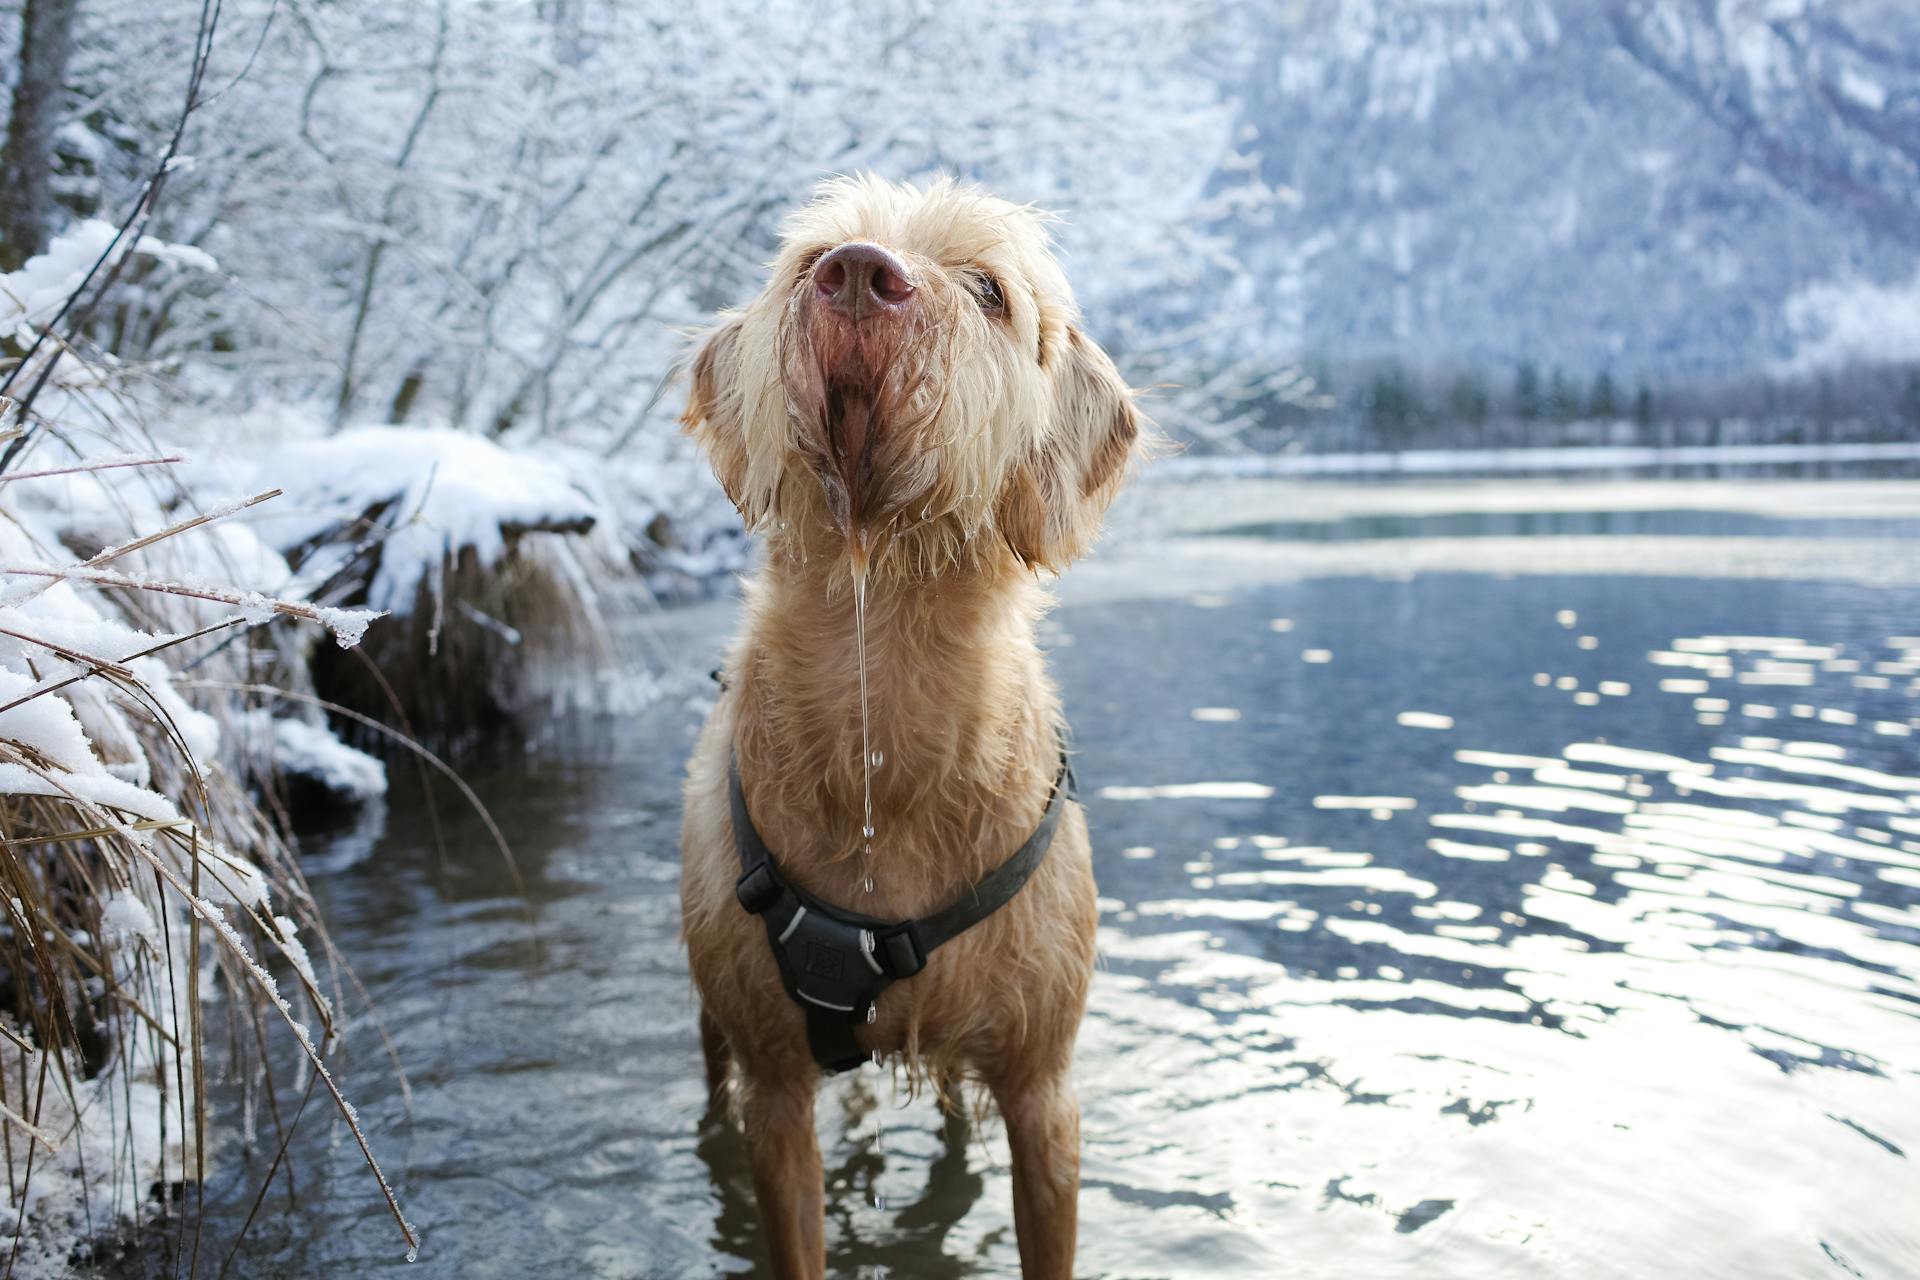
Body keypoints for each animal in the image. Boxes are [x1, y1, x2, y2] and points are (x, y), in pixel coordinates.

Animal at [679, 172, 1136, 1280]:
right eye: (813, 260)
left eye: (989, 289)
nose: (855, 274)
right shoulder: (775, 1092)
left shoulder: (1044, 1090)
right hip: (718, 1021)